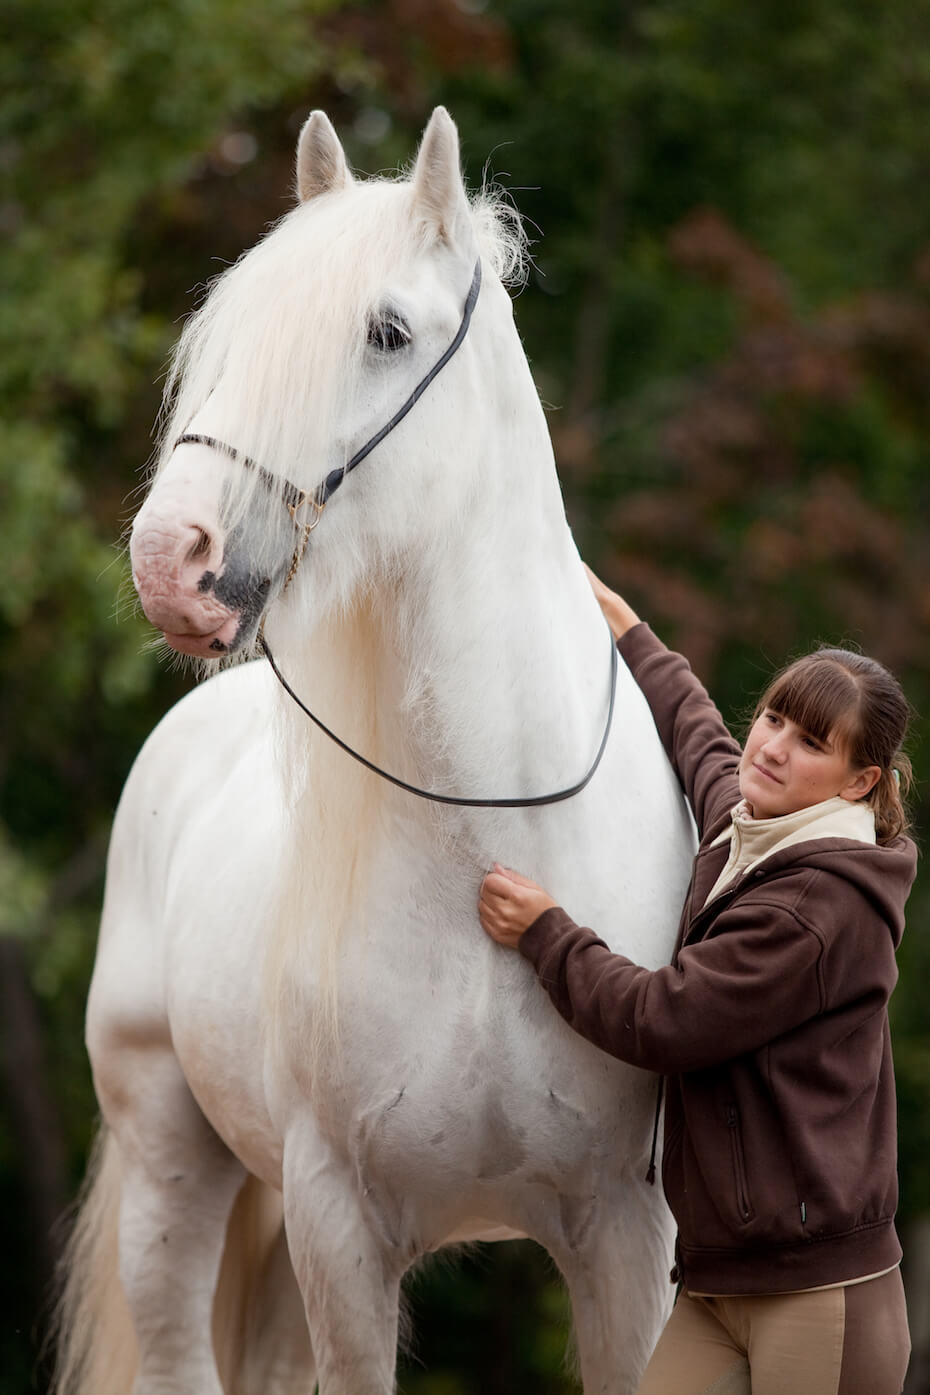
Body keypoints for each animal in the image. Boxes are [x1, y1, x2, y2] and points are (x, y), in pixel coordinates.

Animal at [54, 107, 696, 1395]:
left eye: (388, 333)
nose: (167, 560)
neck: (497, 850)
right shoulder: (339, 1227)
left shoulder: (627, 1241)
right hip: (170, 1178)